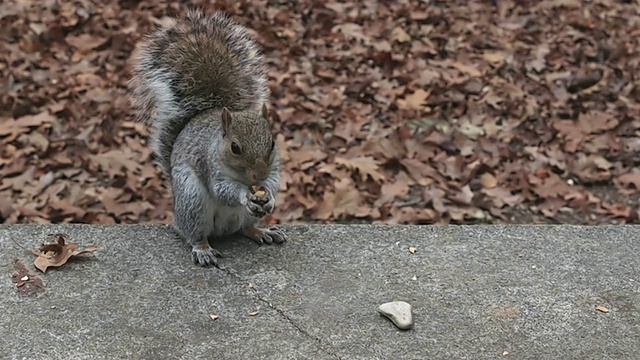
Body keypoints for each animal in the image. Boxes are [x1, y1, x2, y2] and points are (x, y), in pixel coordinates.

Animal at [128, 8, 288, 268]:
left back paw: (262, 231)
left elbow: (273, 182)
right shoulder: (210, 166)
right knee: (195, 234)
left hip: (239, 217)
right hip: (192, 200)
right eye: (235, 147)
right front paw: (245, 195)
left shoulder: (274, 168)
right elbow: (222, 189)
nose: (259, 175)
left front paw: (270, 197)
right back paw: (203, 249)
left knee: (244, 229)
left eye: (272, 142)